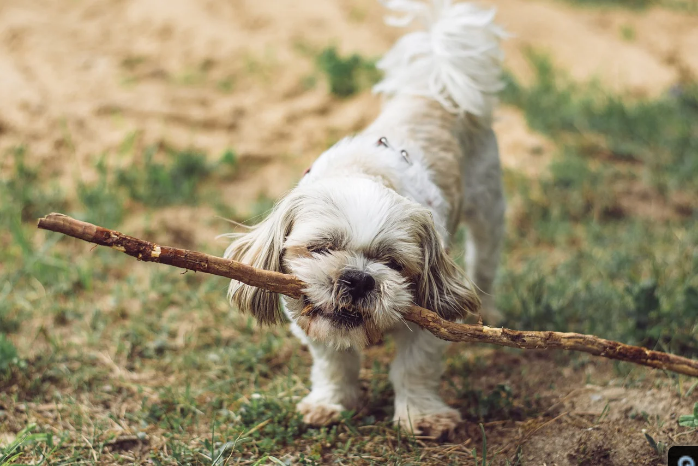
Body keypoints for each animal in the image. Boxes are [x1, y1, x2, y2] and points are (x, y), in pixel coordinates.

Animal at [226, 0, 502, 440]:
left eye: (393, 263)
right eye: (321, 249)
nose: (358, 278)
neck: (364, 171)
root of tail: (433, 91)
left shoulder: (428, 316)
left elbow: (414, 368)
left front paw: (421, 415)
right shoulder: (305, 315)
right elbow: (334, 363)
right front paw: (331, 403)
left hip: (489, 210)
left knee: (486, 263)